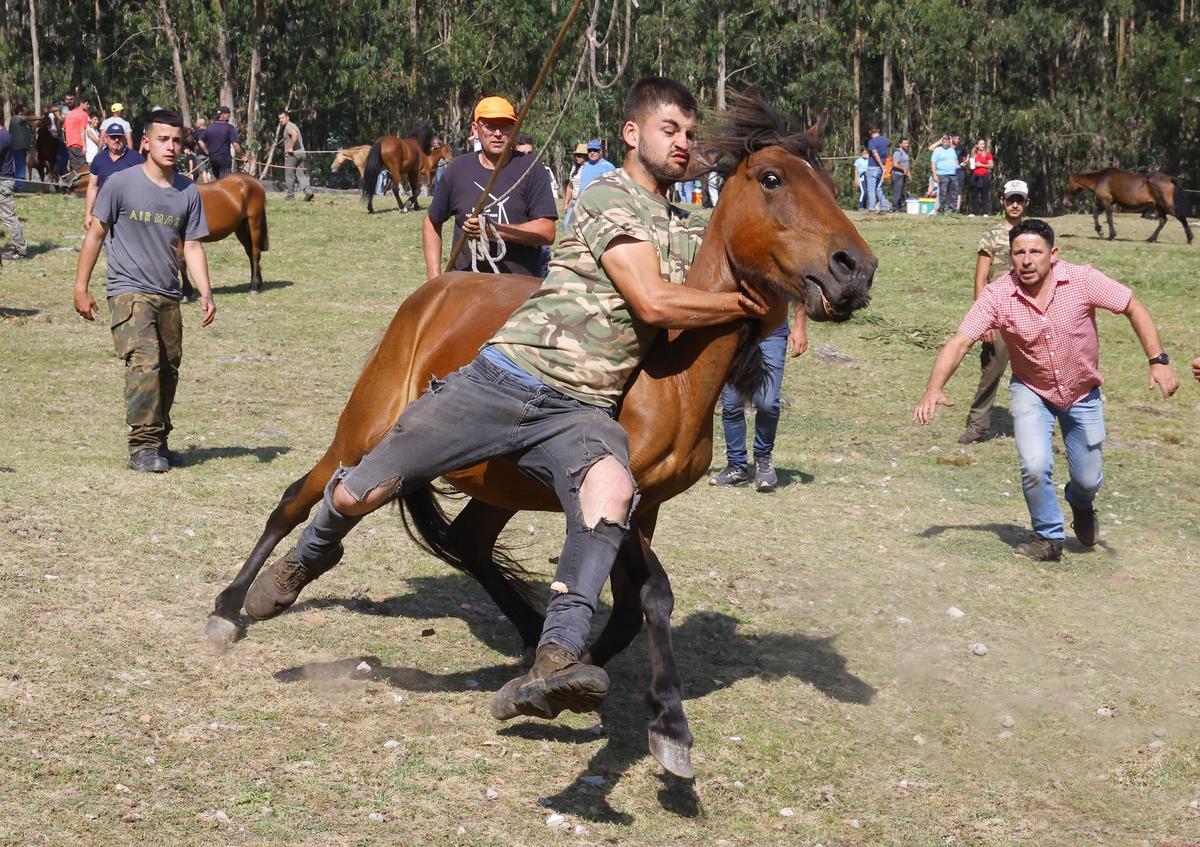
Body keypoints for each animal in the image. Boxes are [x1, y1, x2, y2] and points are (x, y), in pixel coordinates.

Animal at [205, 93, 876, 778]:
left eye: (830, 185)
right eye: (771, 179)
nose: (856, 269)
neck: (672, 374)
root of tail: (435, 289)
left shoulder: (643, 504)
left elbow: (632, 605)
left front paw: (573, 675)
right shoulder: (623, 502)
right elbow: (653, 595)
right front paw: (667, 722)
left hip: (498, 483)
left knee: (468, 542)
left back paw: (531, 636)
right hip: (369, 434)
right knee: (309, 495)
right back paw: (234, 606)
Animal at [1064, 168, 1193, 244]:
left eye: (1067, 185)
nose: (1065, 202)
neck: (1100, 179)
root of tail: (1169, 178)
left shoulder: (1106, 201)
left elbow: (1109, 218)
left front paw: (1111, 235)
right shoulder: (1107, 202)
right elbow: (1095, 215)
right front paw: (1100, 231)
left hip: (1165, 205)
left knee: (1180, 217)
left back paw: (1189, 238)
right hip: (1158, 206)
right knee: (1163, 221)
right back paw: (1150, 239)